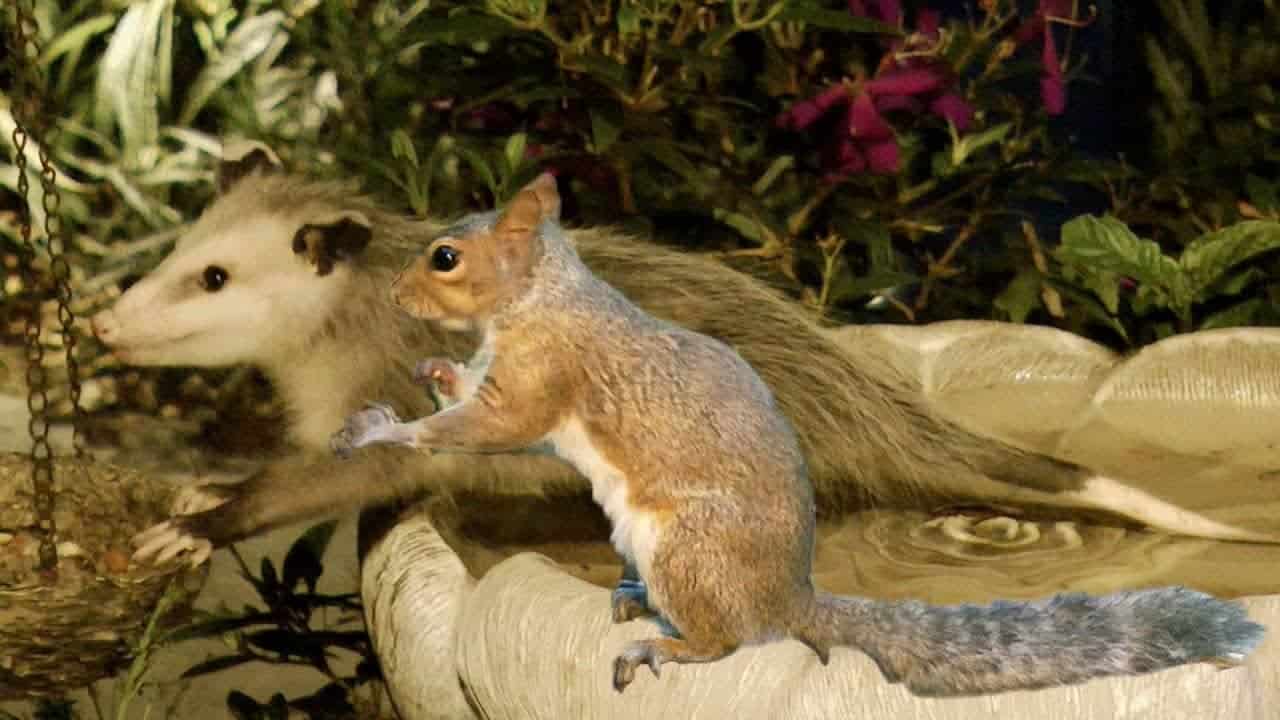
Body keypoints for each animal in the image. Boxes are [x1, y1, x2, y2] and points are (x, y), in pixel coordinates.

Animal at [329, 172, 1266, 695]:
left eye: (445, 257)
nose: (396, 298)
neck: (544, 297)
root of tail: (791, 597)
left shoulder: (547, 381)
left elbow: (491, 428)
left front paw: (389, 432)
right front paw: (432, 374)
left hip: (689, 548)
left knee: (730, 640)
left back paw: (666, 647)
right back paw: (636, 599)